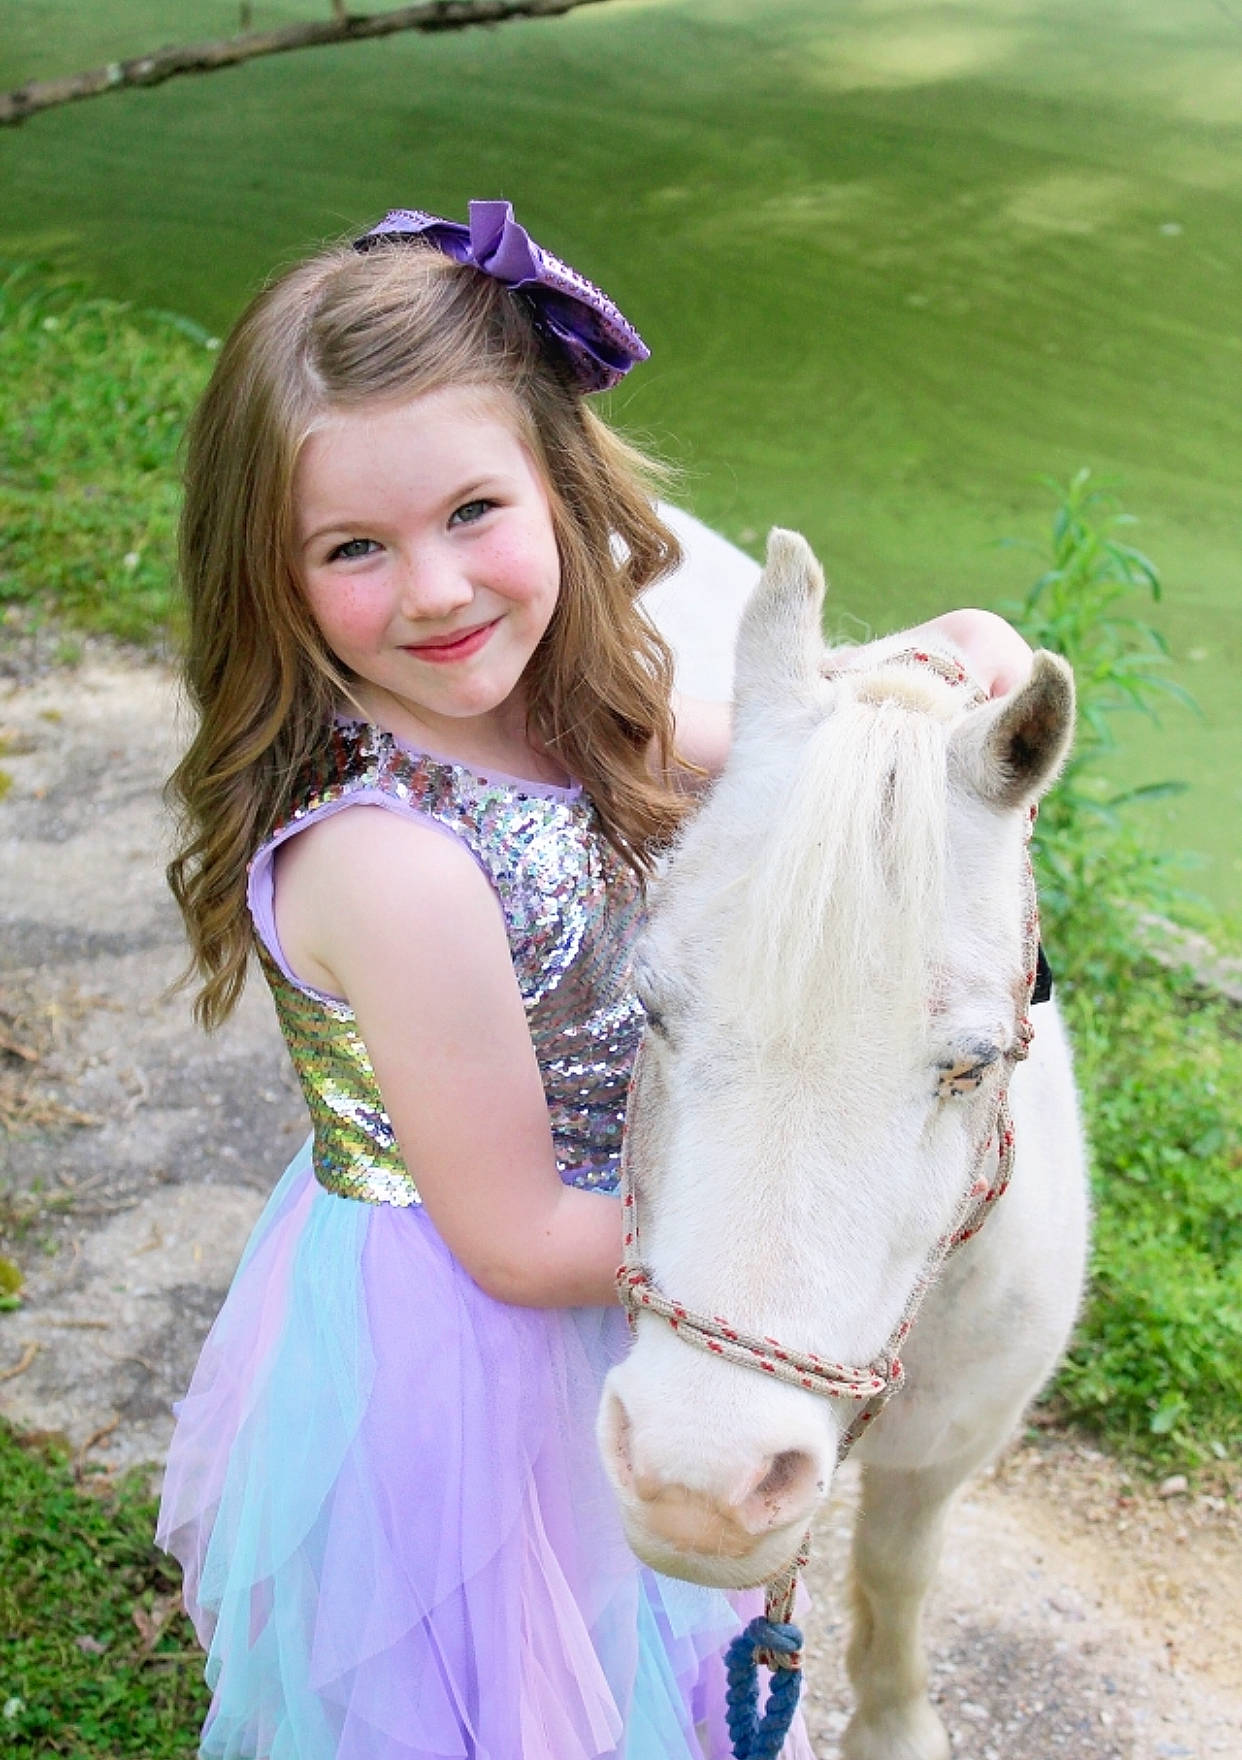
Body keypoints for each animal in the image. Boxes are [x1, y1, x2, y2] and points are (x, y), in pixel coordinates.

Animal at [600, 529, 1089, 1760]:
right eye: (649, 1006)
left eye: (970, 1063)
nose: (696, 1482)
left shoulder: (950, 1451)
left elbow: (900, 1570)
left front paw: (896, 1723)